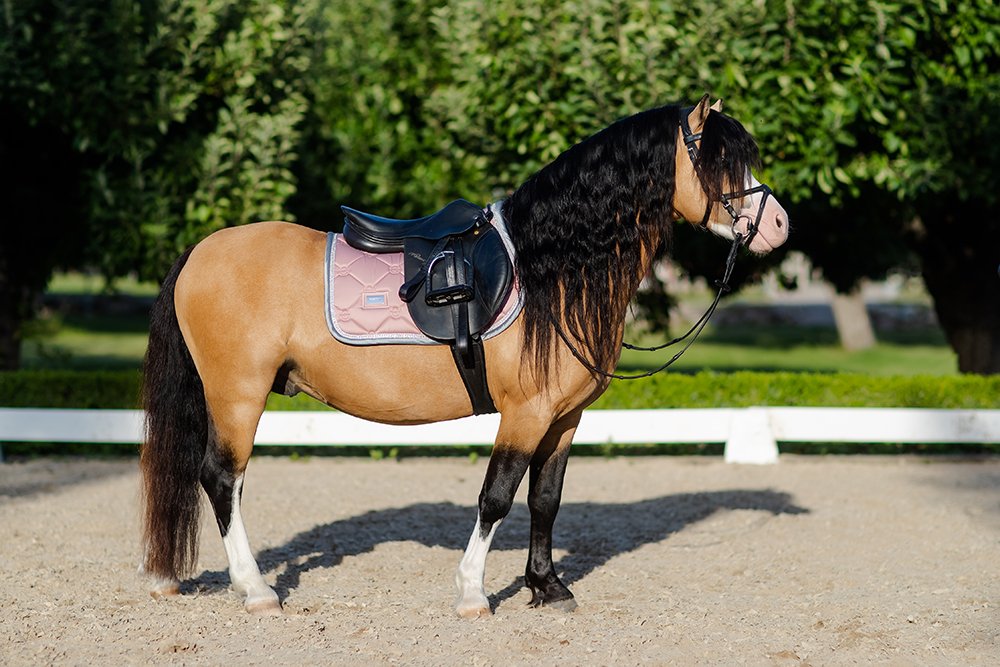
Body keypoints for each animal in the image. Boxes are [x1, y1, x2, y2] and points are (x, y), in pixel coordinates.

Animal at [140, 96, 789, 617]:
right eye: (720, 161)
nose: (779, 225)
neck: (550, 268)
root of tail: (198, 252)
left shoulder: (564, 418)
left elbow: (545, 501)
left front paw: (547, 587)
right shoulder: (525, 413)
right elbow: (496, 497)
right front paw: (473, 593)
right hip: (238, 396)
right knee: (222, 479)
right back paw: (256, 591)